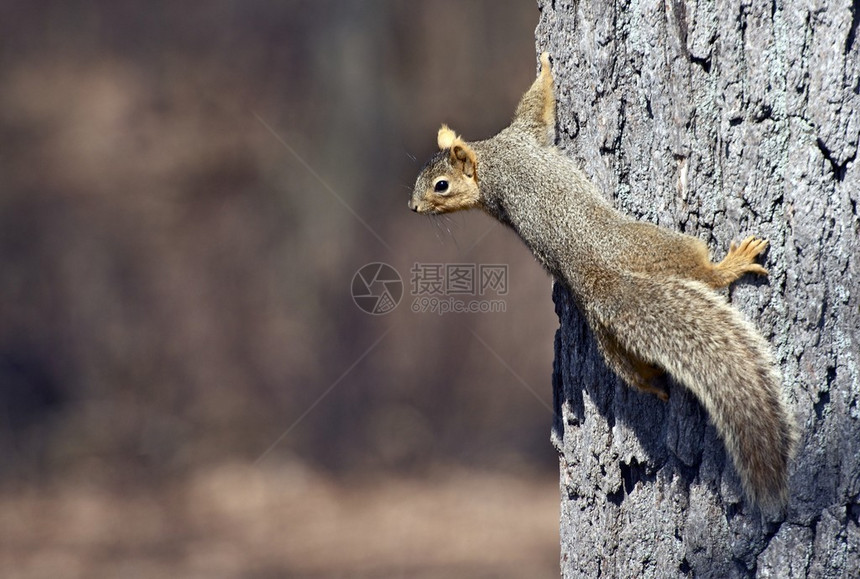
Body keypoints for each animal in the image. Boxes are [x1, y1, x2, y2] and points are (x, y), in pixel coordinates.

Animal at [410, 52, 800, 510]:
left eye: (440, 185)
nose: (413, 207)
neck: (490, 164)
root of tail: (602, 283)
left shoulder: (519, 144)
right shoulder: (526, 136)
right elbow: (538, 101)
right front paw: (547, 67)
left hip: (606, 334)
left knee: (626, 368)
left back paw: (651, 384)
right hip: (657, 245)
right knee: (698, 270)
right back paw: (730, 265)